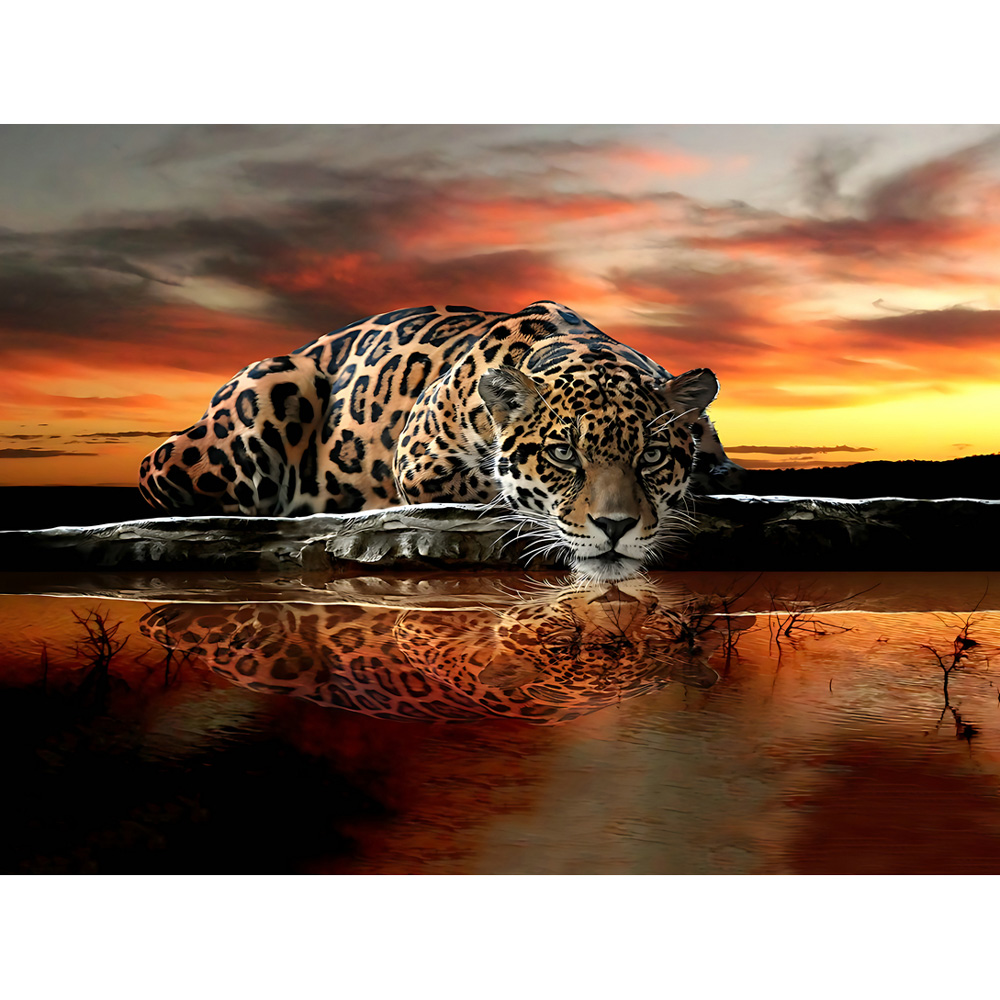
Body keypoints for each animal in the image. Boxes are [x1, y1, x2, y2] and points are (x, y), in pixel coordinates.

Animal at [139, 300, 741, 580]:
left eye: (652, 456)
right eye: (562, 454)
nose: (615, 528)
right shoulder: (420, 461)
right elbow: (496, 486)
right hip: (270, 387)